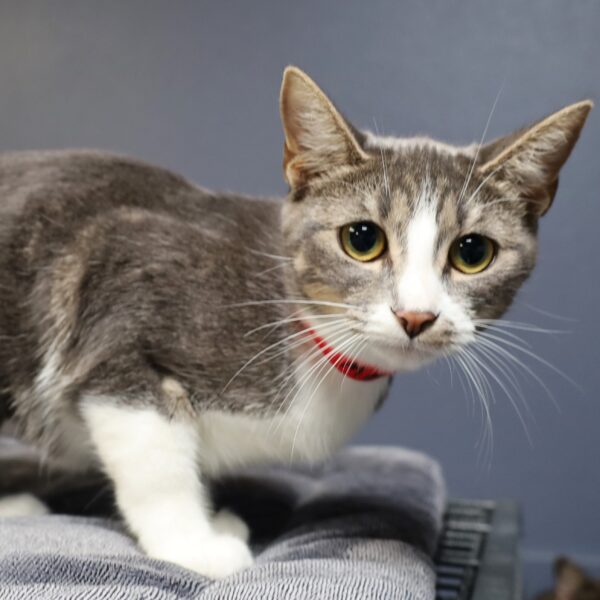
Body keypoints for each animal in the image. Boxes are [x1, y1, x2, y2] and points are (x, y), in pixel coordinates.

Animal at [0, 68, 592, 580]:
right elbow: (156, 460)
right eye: (362, 239)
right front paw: (194, 545)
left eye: (473, 252)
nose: (415, 315)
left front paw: (214, 521)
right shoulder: (119, 300)